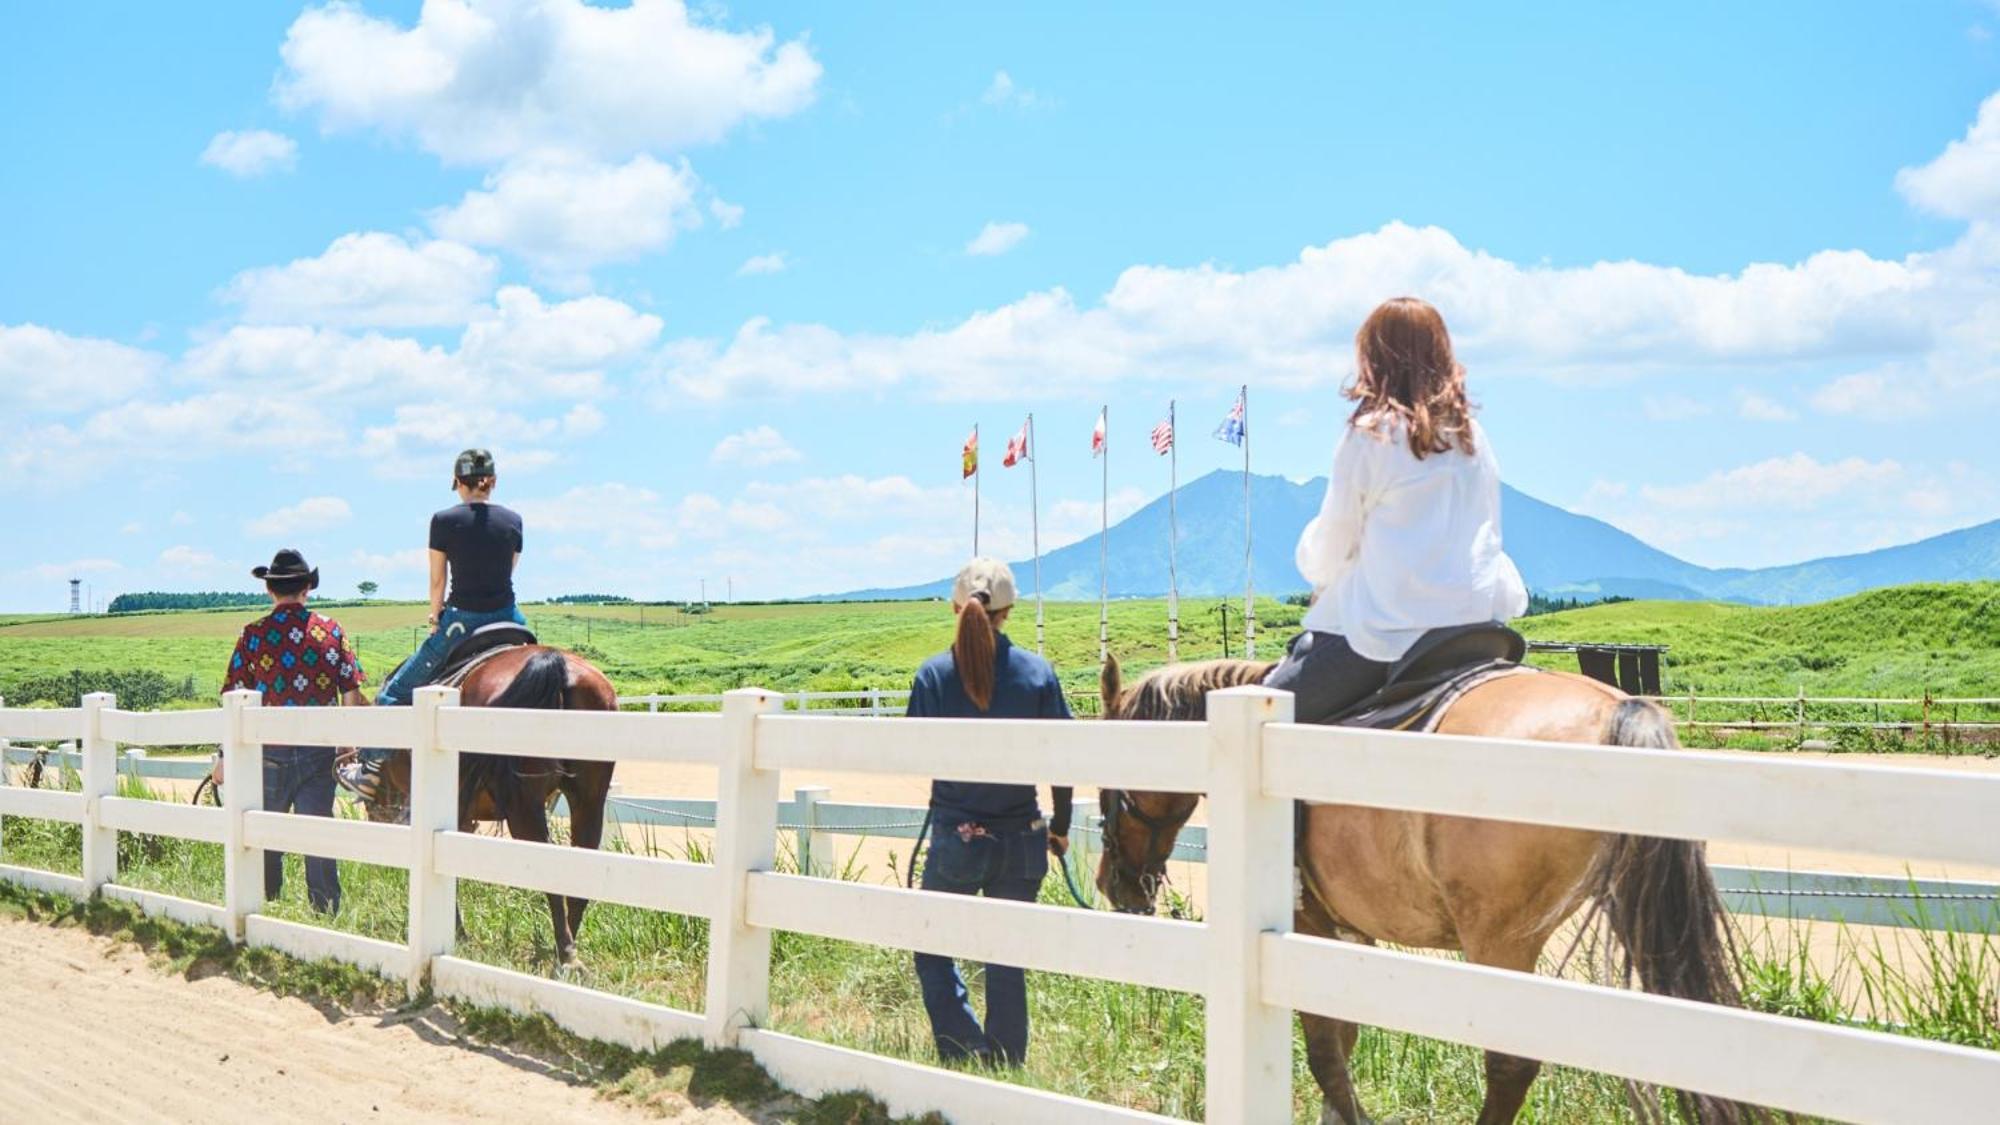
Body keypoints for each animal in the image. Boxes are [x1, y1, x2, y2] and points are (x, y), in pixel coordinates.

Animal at [368, 644, 616, 960]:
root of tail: (555, 663)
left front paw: (458, 931)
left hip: (524, 807)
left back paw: (566, 951)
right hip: (588, 801)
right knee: (581, 865)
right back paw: (563, 948)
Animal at [1096, 652, 1768, 1120]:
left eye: (1106, 785)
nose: (1111, 885)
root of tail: (1615, 709)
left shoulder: (1310, 926)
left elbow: (1325, 1055)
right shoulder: (1345, 936)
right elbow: (1344, 1042)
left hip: (1499, 941)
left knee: (1510, 1064)